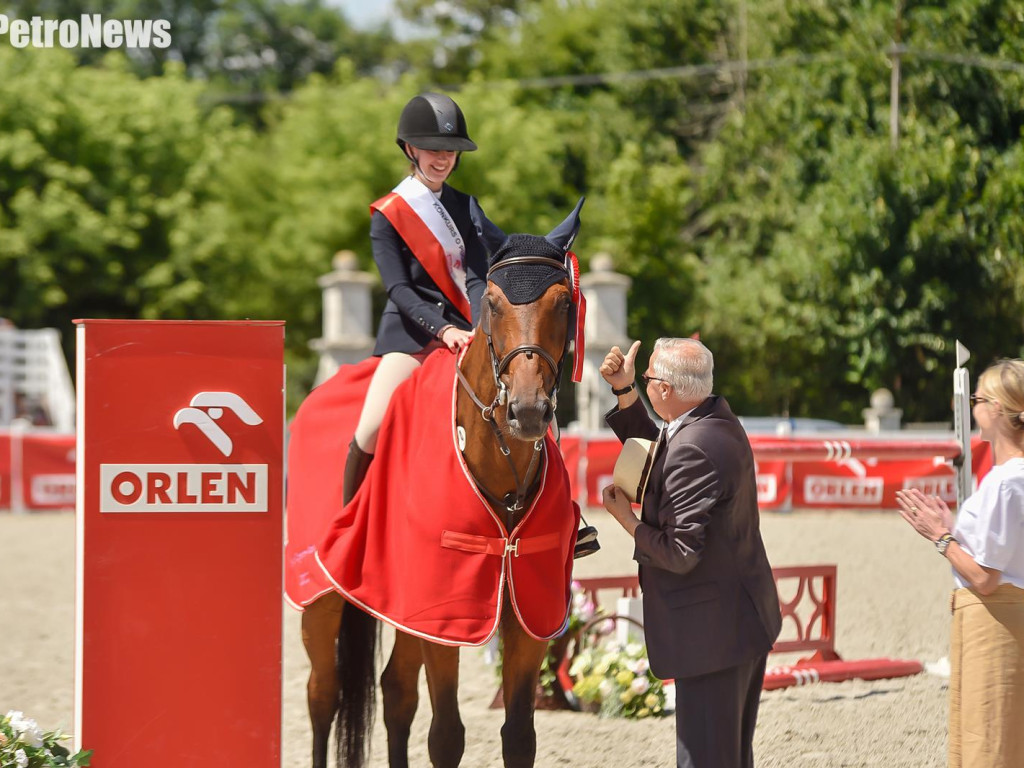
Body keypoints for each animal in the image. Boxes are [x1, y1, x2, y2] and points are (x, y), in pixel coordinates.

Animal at [299, 199, 585, 768]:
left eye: (564, 303)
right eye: (492, 303)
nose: (527, 411)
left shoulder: (529, 613)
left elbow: (520, 737)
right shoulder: (446, 615)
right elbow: (447, 736)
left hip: (403, 601)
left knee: (395, 692)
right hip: (321, 597)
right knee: (323, 694)